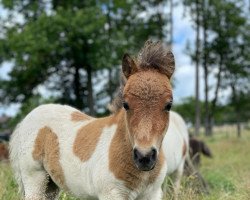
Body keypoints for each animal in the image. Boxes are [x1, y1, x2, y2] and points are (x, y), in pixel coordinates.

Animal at [9, 41, 186, 200]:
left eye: (169, 105)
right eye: (125, 104)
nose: (144, 157)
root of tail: (28, 118)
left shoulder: (153, 194)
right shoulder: (111, 194)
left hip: (51, 184)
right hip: (34, 178)